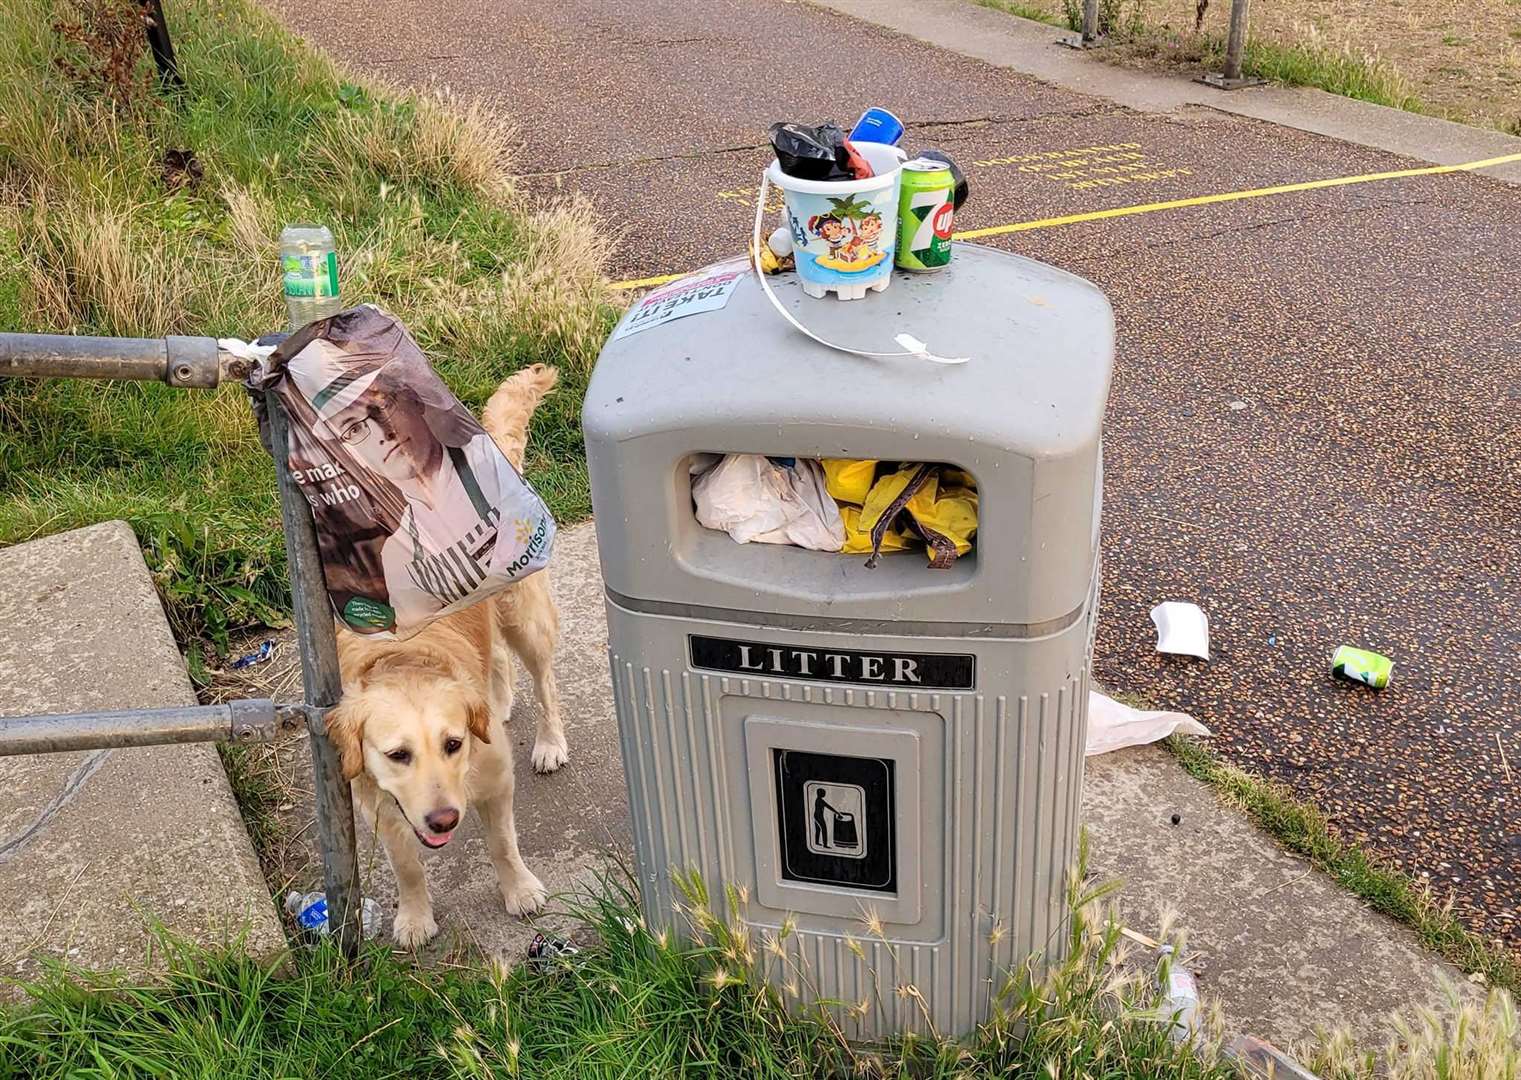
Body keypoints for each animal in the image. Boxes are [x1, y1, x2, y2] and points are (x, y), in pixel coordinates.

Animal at [330, 368, 568, 949]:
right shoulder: (378, 802)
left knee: (544, 682)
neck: (407, 659)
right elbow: (406, 865)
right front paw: (415, 918)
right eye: (397, 755)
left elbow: (502, 844)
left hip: (524, 617)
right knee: (496, 661)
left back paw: (550, 742)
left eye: (453, 744)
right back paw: (498, 702)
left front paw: (520, 892)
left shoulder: (495, 779)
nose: (442, 819)